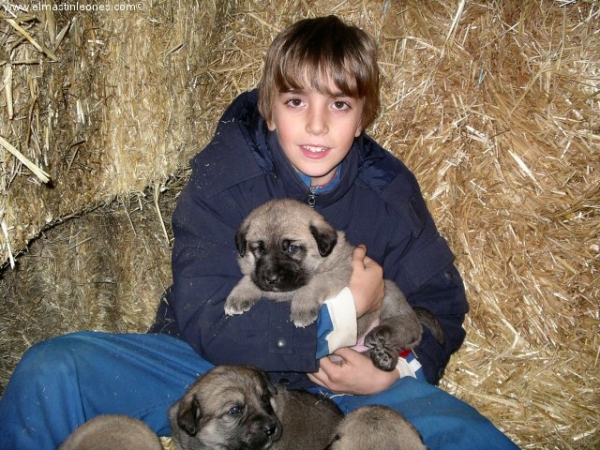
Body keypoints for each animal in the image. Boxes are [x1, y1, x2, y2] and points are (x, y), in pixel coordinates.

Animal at [223, 199, 442, 370]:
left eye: (292, 248)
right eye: (259, 249)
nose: (272, 278)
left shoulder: (338, 272)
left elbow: (313, 283)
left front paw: (302, 309)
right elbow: (250, 277)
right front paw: (239, 296)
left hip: (389, 293)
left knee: (410, 326)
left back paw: (384, 333)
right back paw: (384, 358)